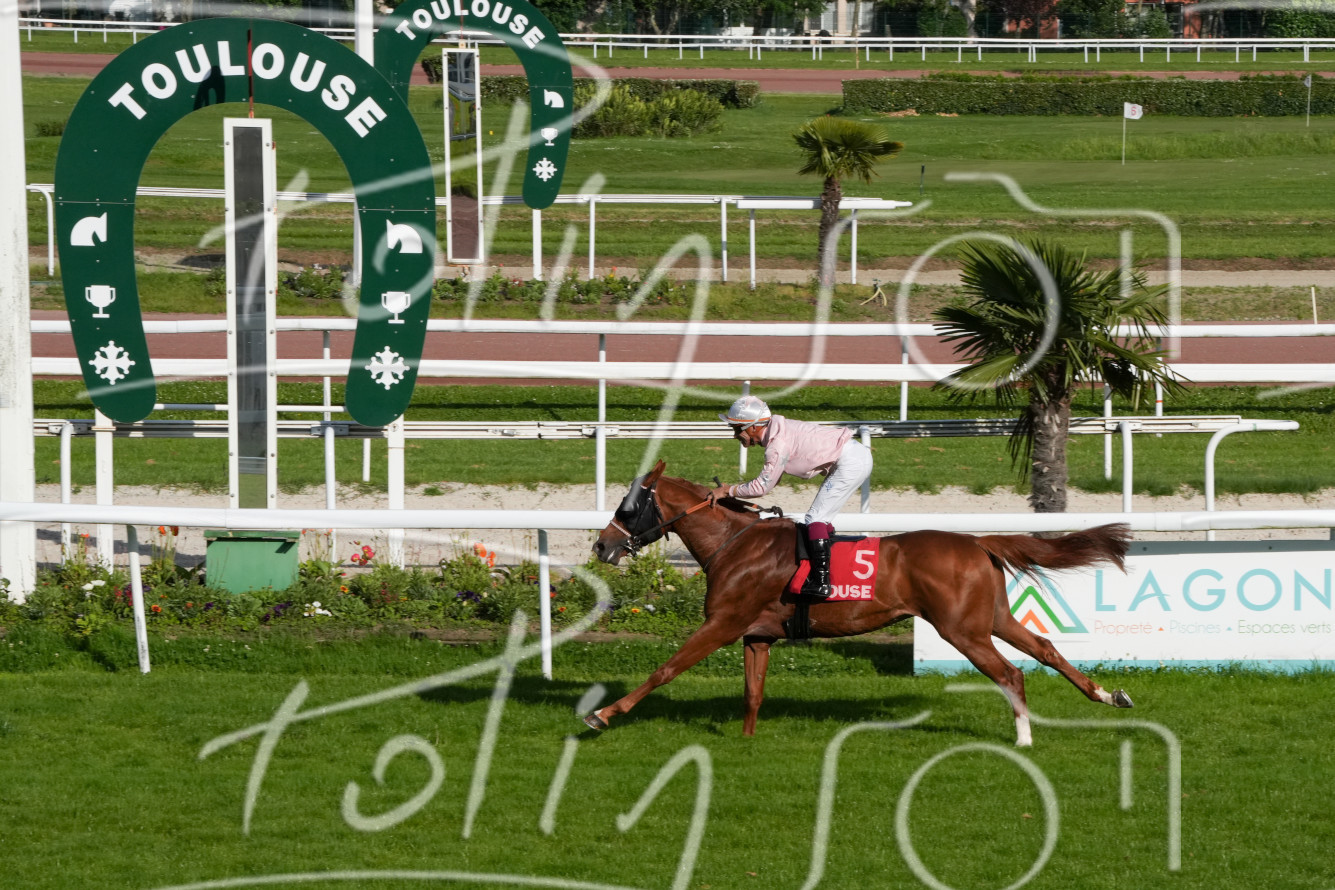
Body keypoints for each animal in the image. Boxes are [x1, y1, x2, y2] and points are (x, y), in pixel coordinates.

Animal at [585, 460, 1135, 747]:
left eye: (628, 508)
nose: (600, 545)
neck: (734, 544)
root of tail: (978, 542)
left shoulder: (724, 622)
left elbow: (666, 669)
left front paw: (604, 714)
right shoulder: (757, 635)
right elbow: (752, 693)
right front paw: (746, 741)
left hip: (962, 629)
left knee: (1010, 672)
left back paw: (1023, 738)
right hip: (991, 618)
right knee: (1044, 648)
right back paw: (1109, 696)